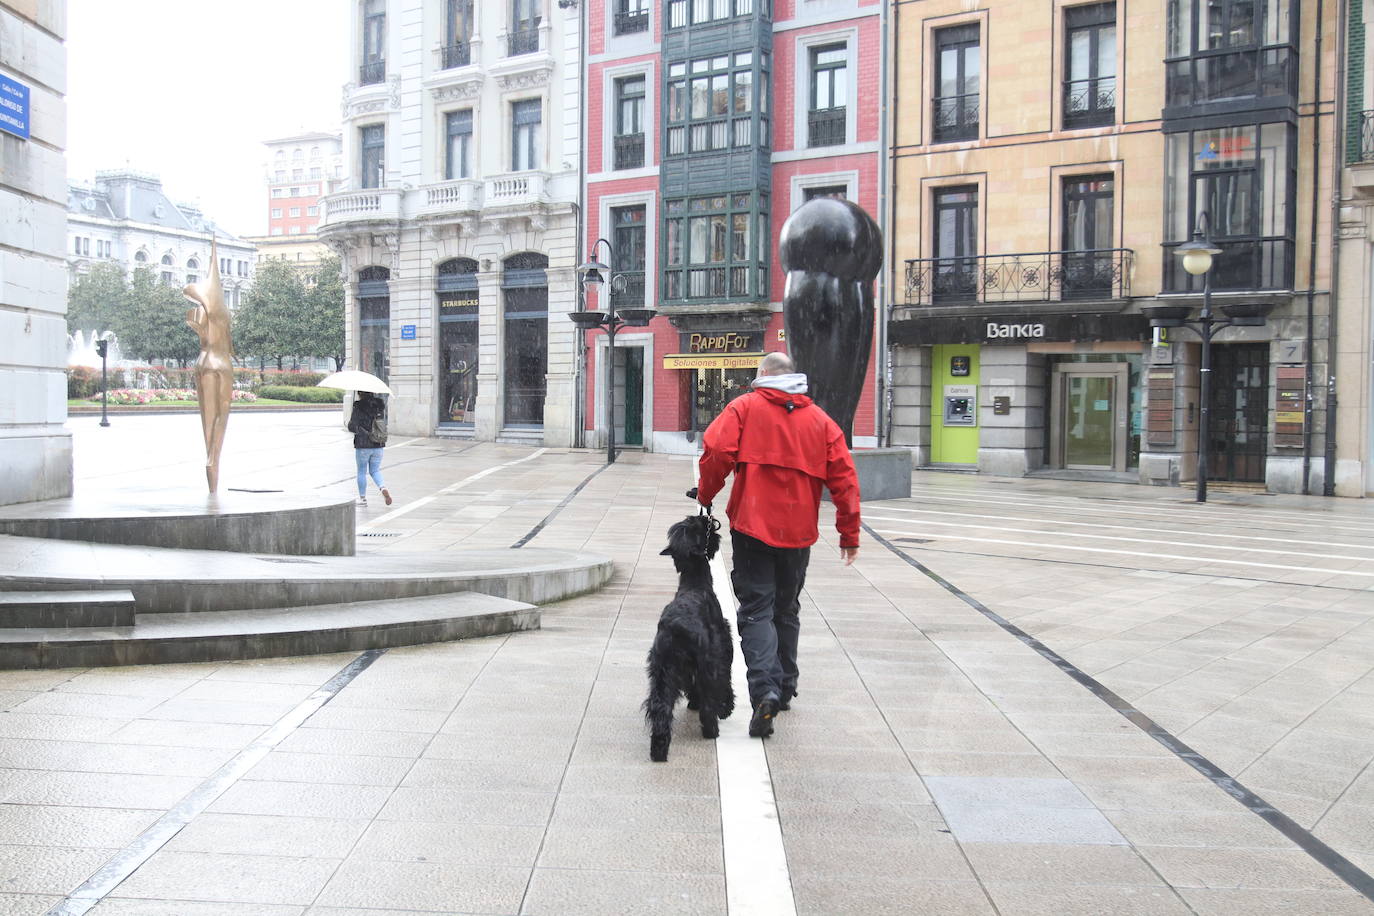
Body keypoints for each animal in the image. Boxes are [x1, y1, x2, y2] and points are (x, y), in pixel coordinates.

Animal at [640, 513, 730, 763]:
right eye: (697, 527)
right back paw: (711, 730)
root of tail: (676, 629)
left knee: (660, 707)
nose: (707, 518)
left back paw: (658, 749)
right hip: (706, 663)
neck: (694, 584)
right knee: (710, 698)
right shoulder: (722, 644)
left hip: (661, 671)